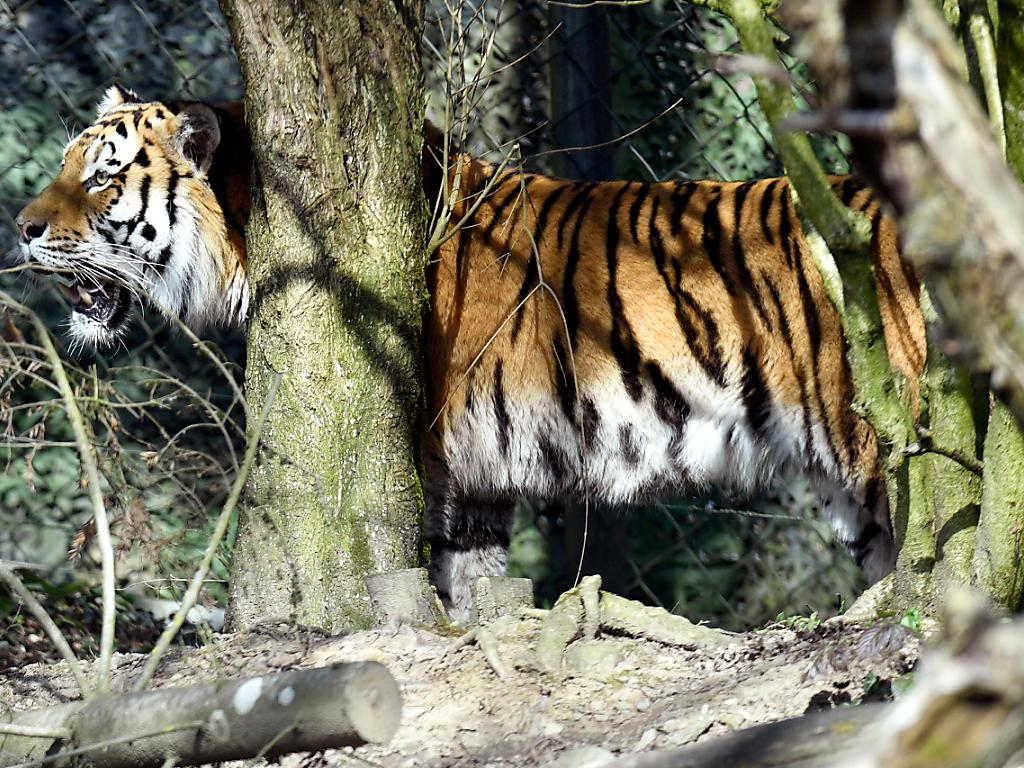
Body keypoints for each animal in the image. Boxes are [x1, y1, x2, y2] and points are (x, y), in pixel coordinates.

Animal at [14, 86, 925, 619]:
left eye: (100, 178)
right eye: (65, 163)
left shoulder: (428, 457)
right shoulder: (475, 476)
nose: (19, 229)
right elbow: (477, 584)